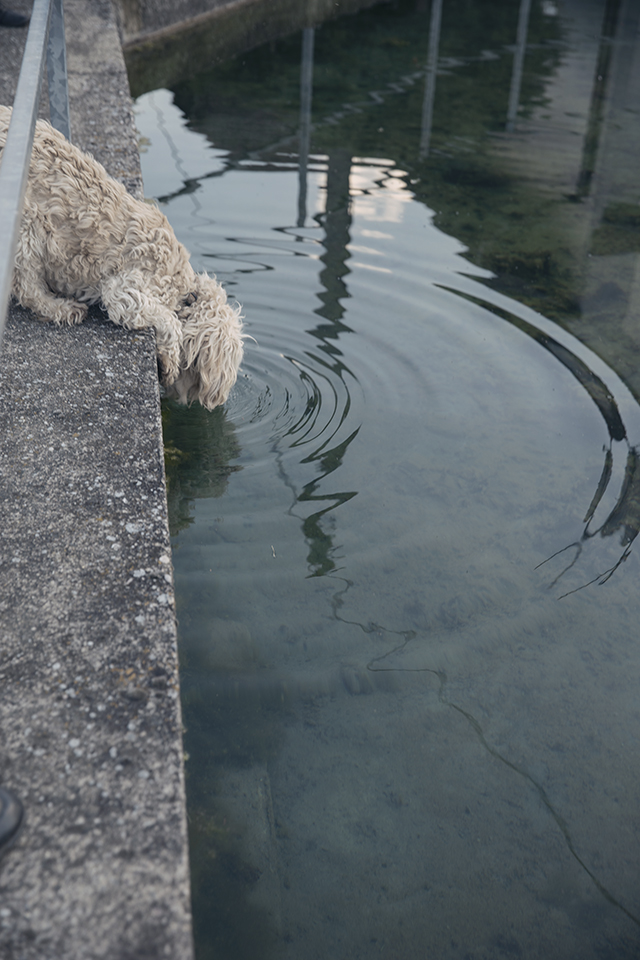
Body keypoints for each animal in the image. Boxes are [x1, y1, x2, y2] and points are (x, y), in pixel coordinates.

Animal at [0, 105, 243, 409]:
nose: (216, 401)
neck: (182, 289)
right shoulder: (124, 291)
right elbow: (169, 322)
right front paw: (169, 361)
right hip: (28, 223)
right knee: (27, 286)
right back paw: (60, 308)